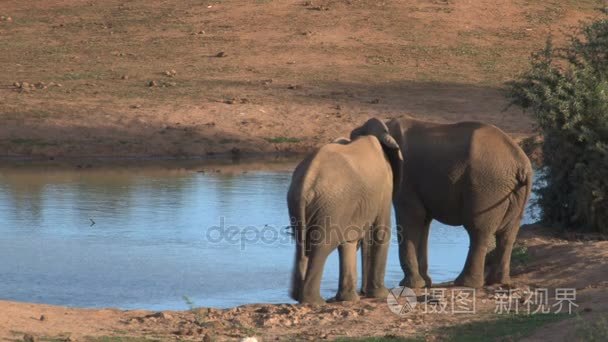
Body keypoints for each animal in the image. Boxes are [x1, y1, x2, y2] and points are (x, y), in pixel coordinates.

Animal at [288, 117, 402, 304]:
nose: (363, 292)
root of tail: (306, 181)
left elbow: (349, 239)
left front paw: (348, 299)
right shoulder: (385, 186)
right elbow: (381, 232)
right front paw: (382, 294)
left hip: (306, 204)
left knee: (302, 243)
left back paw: (299, 297)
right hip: (332, 204)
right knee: (322, 246)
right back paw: (315, 301)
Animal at [384, 115, 532, 288]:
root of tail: (522, 164)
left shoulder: (406, 177)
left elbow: (412, 217)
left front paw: (410, 285)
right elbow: (423, 220)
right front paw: (425, 283)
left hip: (487, 186)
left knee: (478, 231)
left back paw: (466, 283)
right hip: (514, 192)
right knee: (508, 234)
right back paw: (497, 281)